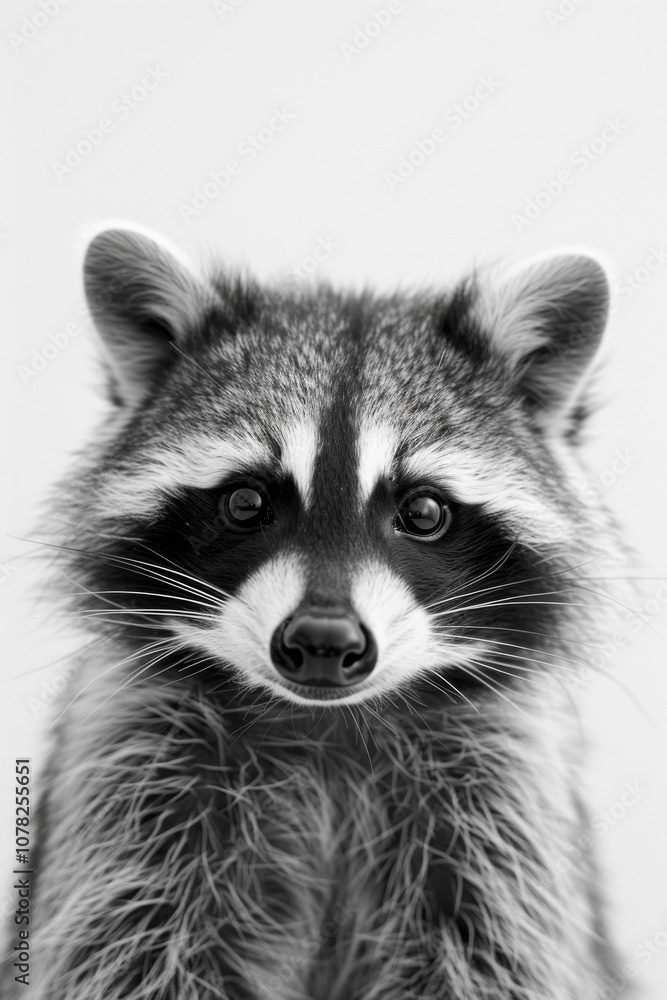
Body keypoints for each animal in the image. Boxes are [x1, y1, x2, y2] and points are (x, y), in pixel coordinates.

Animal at [6, 227, 628, 999]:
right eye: (246, 501)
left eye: (424, 511)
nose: (324, 641)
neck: (325, 726)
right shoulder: (129, 770)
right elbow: (129, 951)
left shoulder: (503, 798)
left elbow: (494, 955)